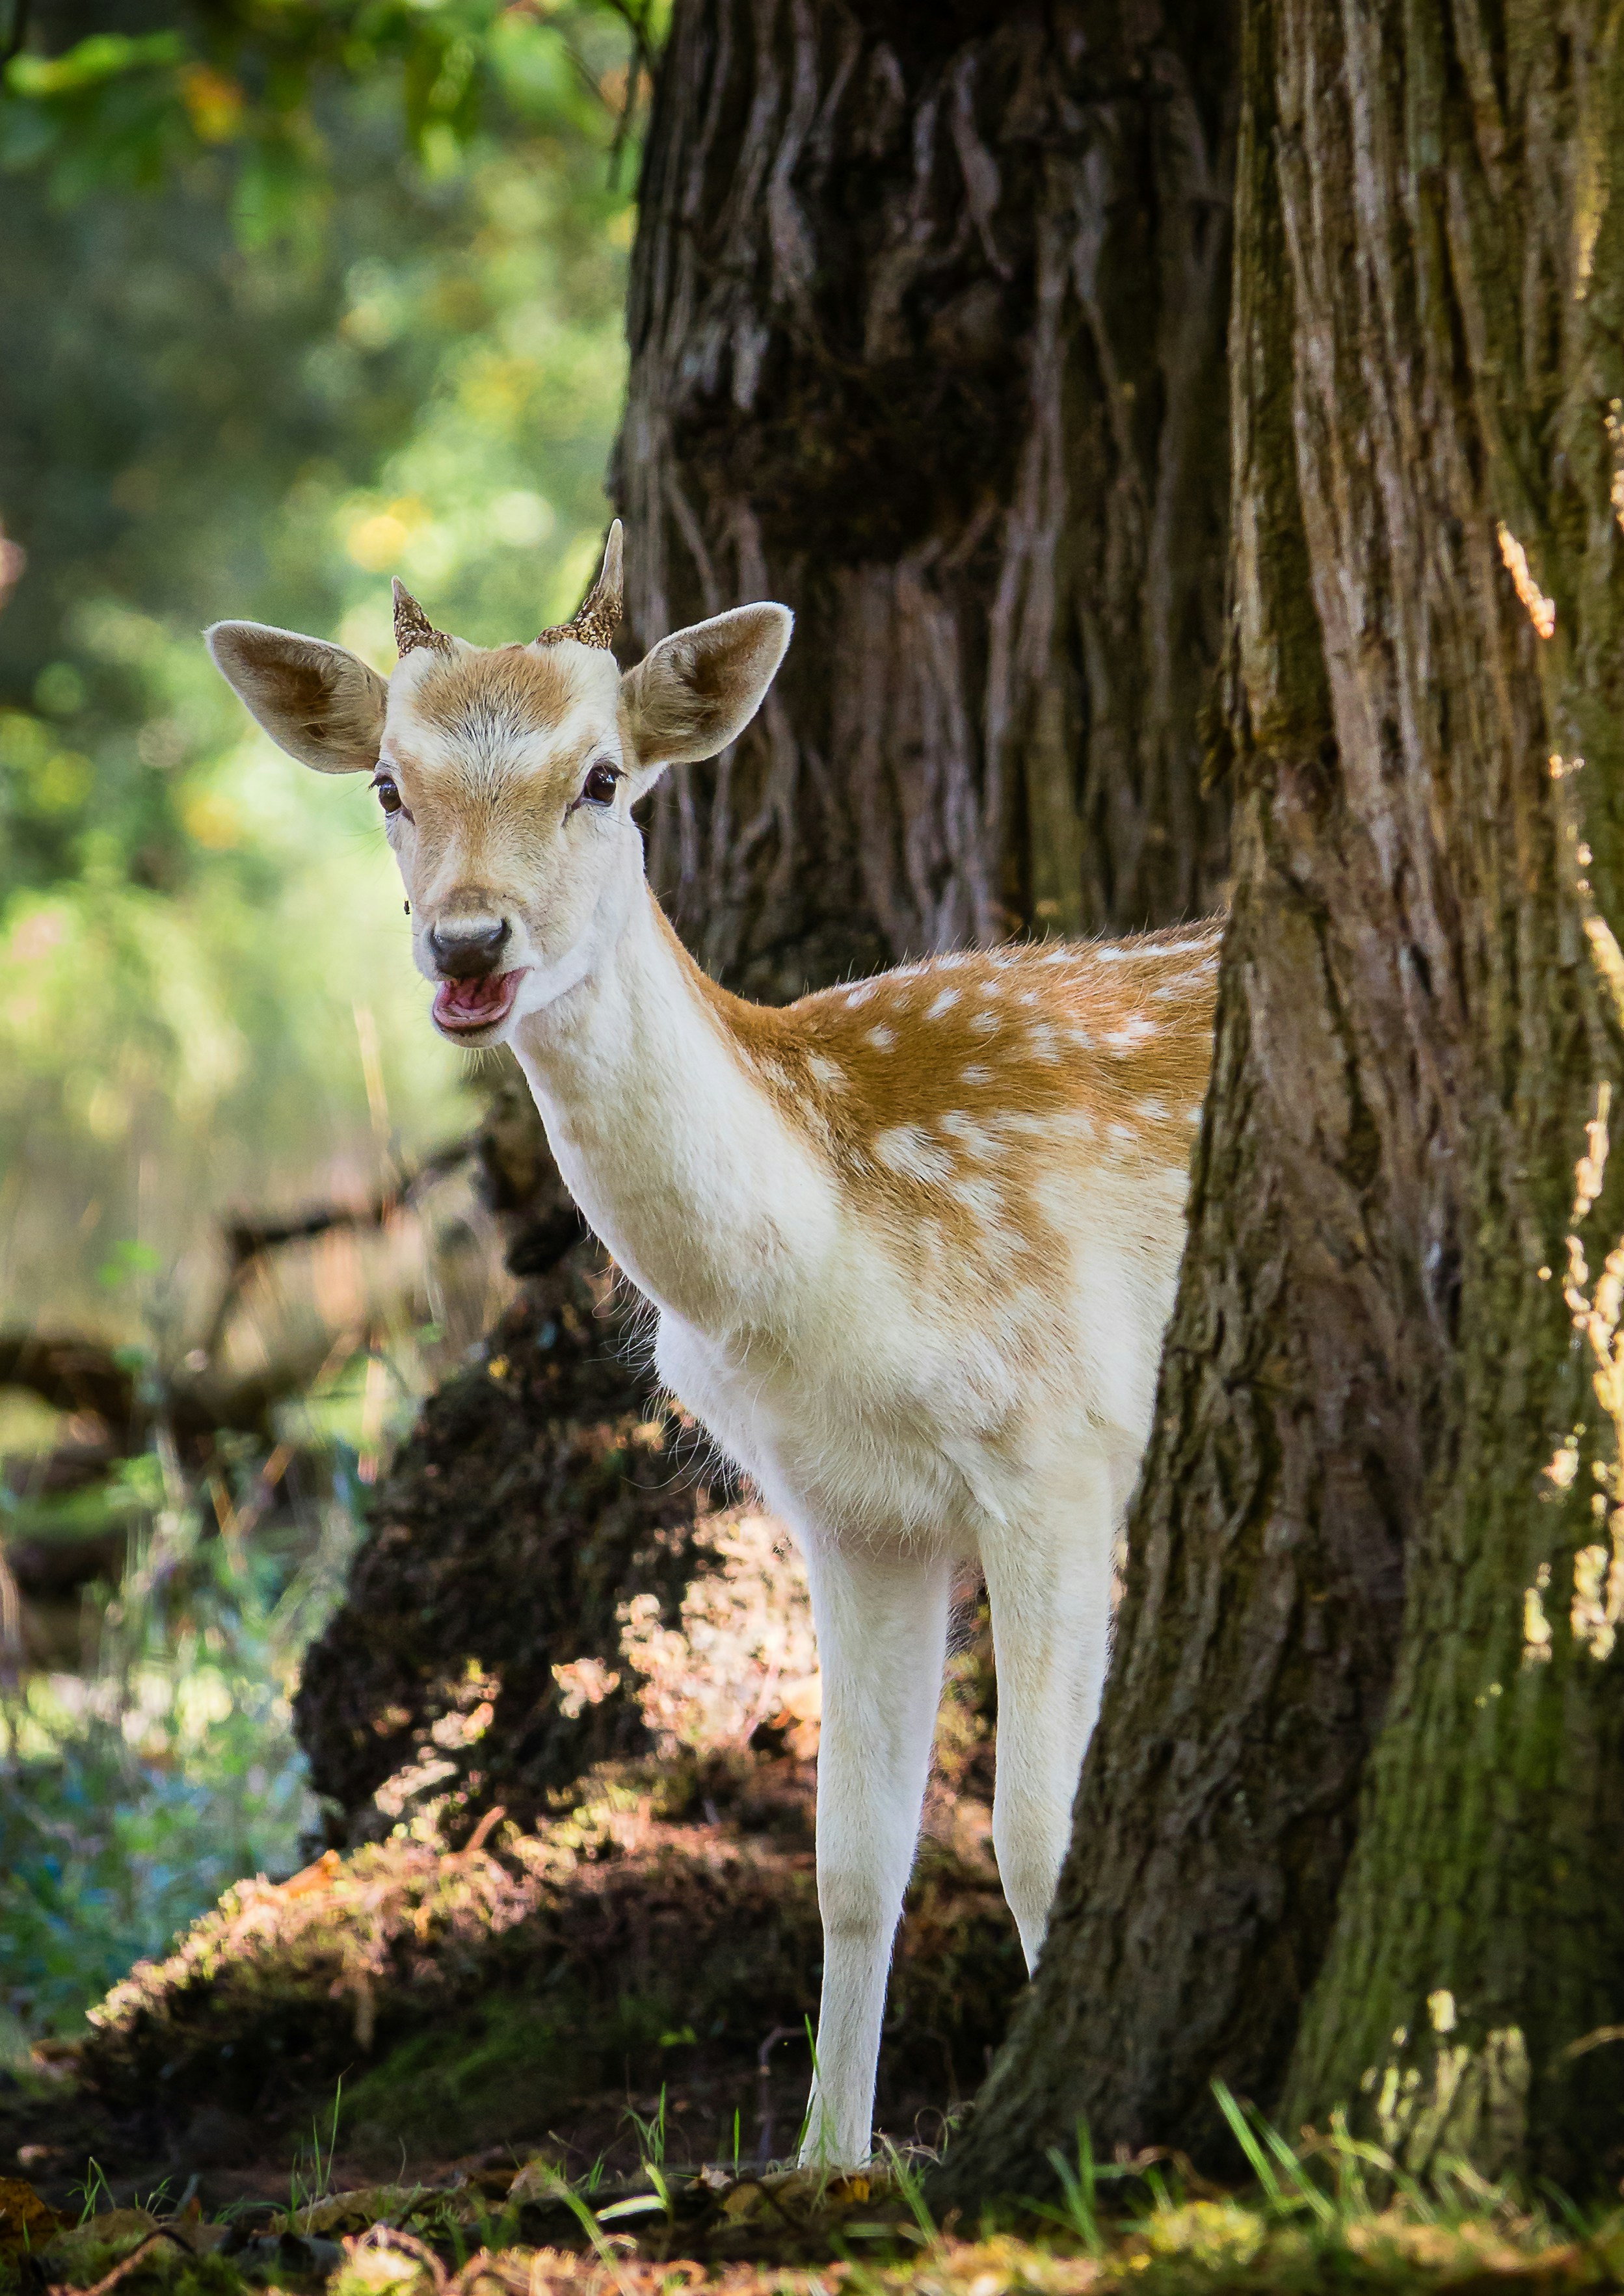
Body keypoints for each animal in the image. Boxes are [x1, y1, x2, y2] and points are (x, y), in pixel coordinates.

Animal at [206, 524, 1219, 2169]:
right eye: (388, 785)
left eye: (604, 775)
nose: (467, 941)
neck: (820, 1261)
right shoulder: (850, 1513)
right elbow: (850, 1858)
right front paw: (824, 2161)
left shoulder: (1056, 1445)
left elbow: (1038, 1831)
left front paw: (1048, 2142)